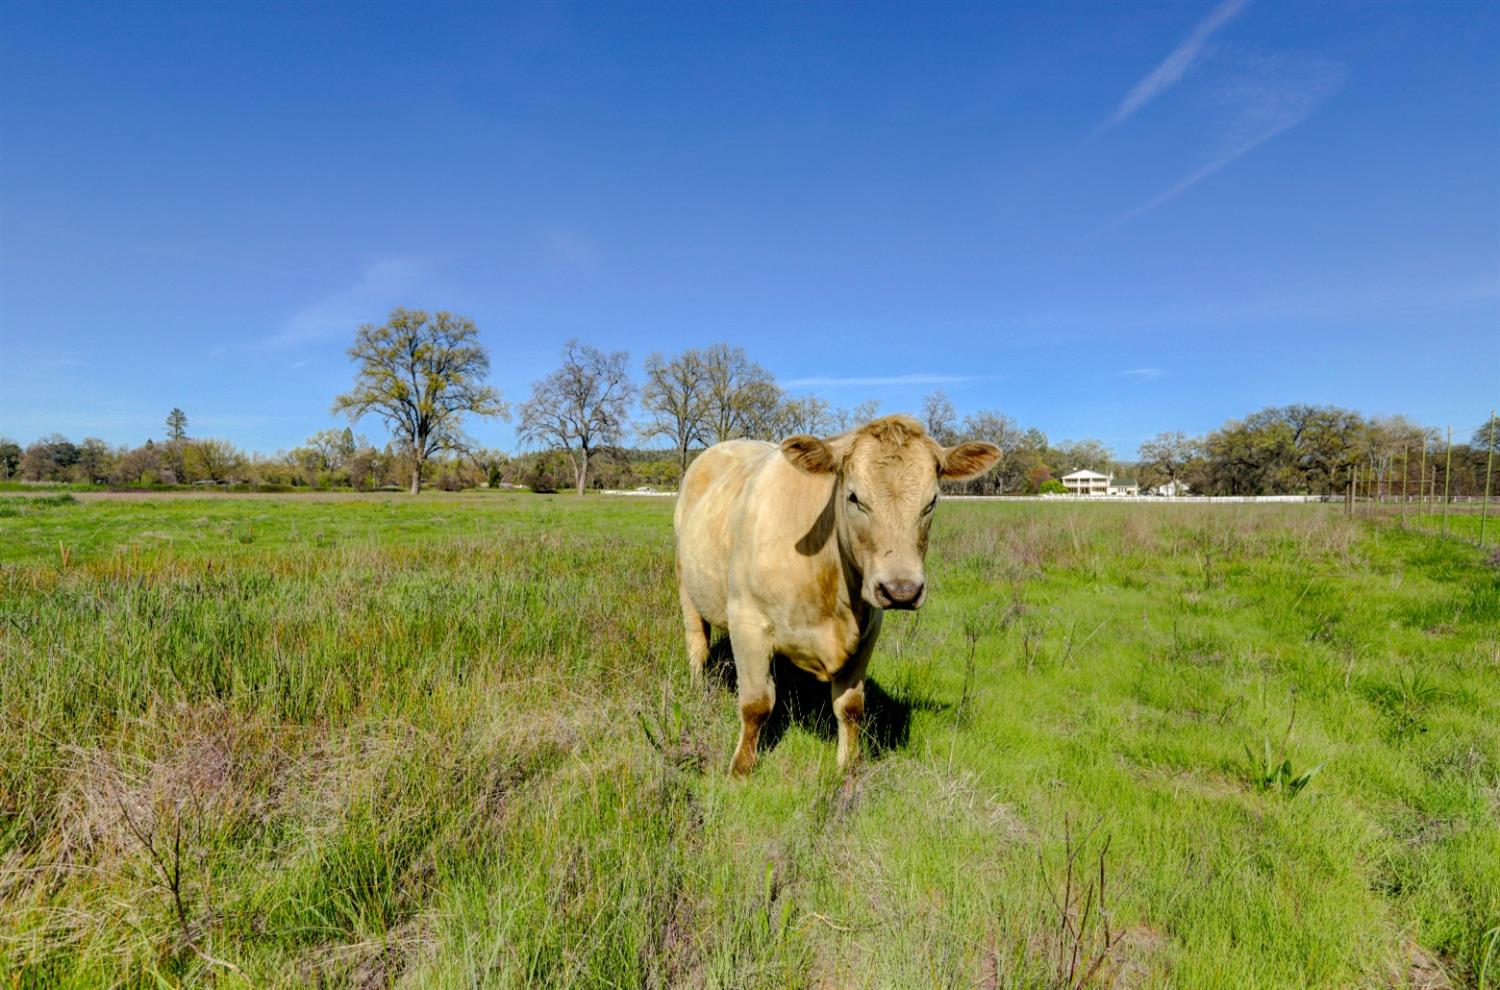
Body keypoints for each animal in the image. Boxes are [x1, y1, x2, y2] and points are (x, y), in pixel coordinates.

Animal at [675, 414, 1002, 780]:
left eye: (931, 501)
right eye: (854, 497)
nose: (901, 590)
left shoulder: (868, 630)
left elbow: (850, 706)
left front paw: (849, 767)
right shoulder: (747, 622)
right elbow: (755, 703)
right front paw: (741, 769)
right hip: (686, 586)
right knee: (698, 646)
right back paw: (698, 690)